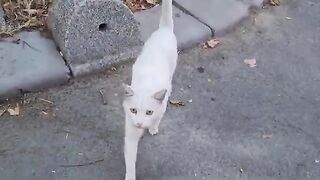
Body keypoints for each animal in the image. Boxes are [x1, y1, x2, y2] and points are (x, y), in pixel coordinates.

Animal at [122, 0, 178, 179]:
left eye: (149, 112)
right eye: (133, 110)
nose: (140, 123)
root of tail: (164, 30)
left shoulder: (161, 108)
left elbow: (158, 118)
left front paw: (153, 128)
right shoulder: (130, 131)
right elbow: (130, 159)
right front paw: (130, 176)